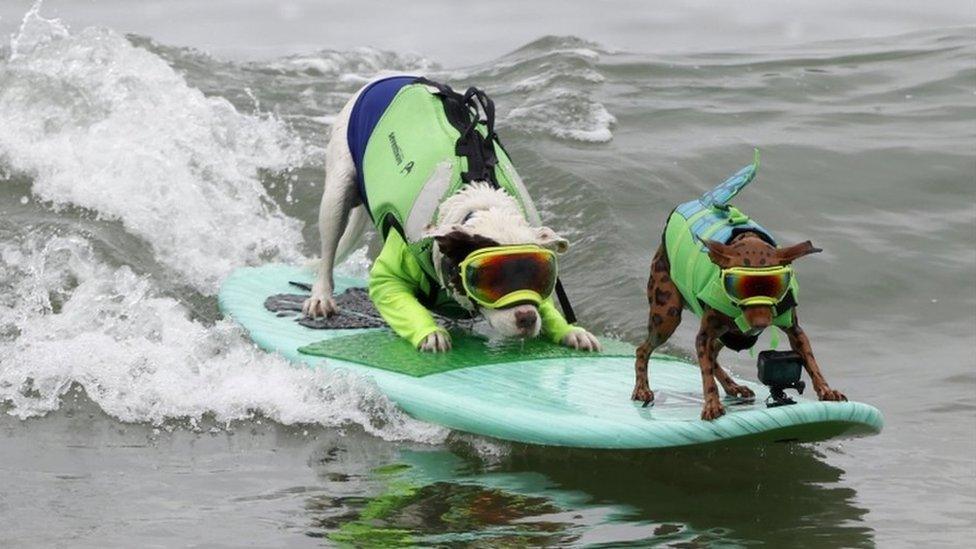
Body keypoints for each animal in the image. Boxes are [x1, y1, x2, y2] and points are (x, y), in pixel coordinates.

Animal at [302, 75, 600, 354]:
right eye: (491, 280)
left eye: (537, 278)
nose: (527, 317)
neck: (480, 204)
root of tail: (387, 79)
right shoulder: (387, 278)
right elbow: (400, 299)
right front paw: (431, 333)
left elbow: (548, 306)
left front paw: (571, 331)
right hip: (336, 194)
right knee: (328, 250)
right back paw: (321, 297)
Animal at [632, 231, 848, 420]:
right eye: (740, 287)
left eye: (774, 286)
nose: (761, 324)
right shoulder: (704, 336)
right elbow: (706, 374)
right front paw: (712, 405)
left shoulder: (795, 331)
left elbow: (812, 363)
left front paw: (826, 390)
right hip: (667, 317)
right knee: (643, 350)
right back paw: (642, 389)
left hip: (729, 335)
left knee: (714, 356)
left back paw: (732, 386)